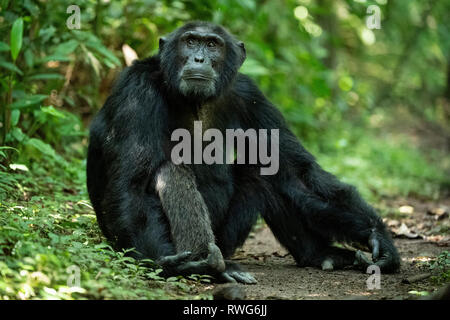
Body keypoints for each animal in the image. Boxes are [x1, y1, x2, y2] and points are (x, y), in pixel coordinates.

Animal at [87, 21, 400, 284]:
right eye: (190, 41)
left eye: (212, 45)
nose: (198, 58)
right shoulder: (136, 93)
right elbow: (132, 187)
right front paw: (169, 263)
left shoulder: (250, 95)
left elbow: (295, 171)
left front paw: (379, 239)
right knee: (168, 171)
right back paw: (208, 264)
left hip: (227, 235)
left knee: (267, 171)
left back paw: (321, 255)